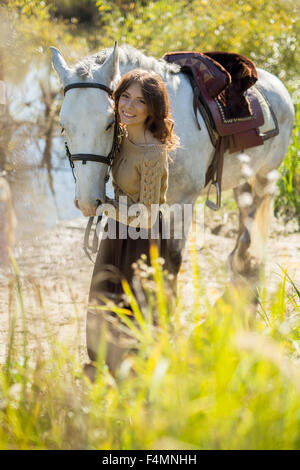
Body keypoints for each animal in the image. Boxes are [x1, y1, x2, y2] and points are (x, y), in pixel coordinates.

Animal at [50, 43, 294, 286]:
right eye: (62, 126)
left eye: (110, 123)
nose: (87, 202)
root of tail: (279, 86)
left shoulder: (183, 203)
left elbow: (172, 259)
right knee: (245, 204)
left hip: (266, 173)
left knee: (256, 205)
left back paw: (242, 258)